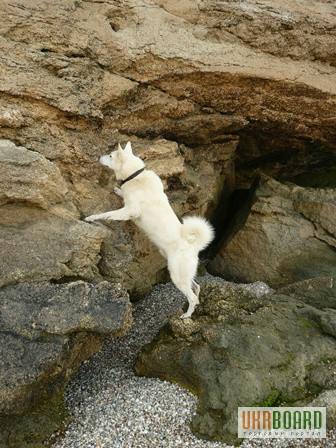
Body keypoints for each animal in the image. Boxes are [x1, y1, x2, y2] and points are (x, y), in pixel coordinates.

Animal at [85, 142, 214, 316]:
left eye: (110, 156)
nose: (99, 157)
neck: (134, 175)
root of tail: (193, 245)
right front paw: (118, 190)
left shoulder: (130, 211)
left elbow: (107, 214)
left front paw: (92, 218)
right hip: (185, 274)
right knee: (197, 287)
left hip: (177, 275)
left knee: (192, 297)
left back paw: (186, 315)